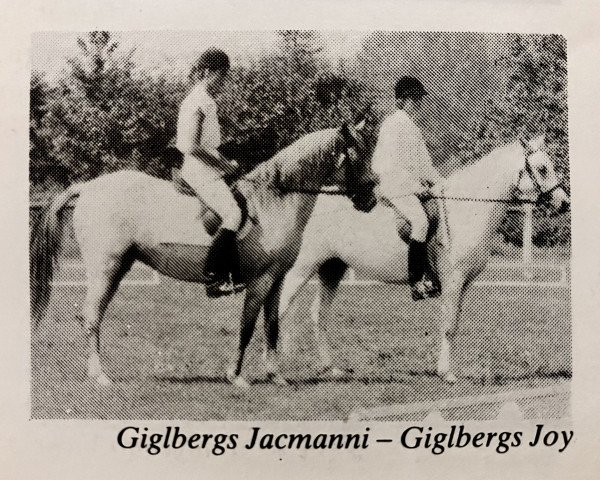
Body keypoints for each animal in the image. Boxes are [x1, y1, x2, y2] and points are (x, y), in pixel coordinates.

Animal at [274, 135, 568, 382]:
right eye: (542, 168)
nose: (564, 203)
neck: (466, 210)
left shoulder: (463, 284)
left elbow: (454, 323)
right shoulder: (453, 280)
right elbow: (449, 325)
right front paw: (447, 374)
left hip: (332, 268)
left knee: (319, 314)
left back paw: (330, 368)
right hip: (303, 267)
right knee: (281, 309)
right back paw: (276, 372)